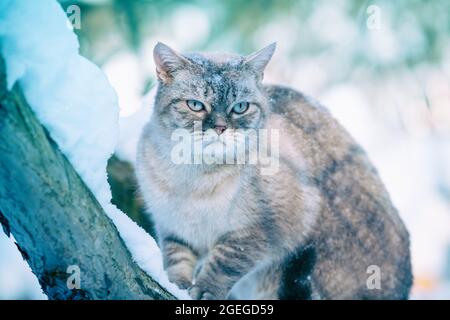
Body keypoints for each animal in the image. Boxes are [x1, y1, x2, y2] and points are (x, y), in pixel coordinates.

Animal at [135, 42, 414, 300]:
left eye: (240, 107)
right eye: (195, 105)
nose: (221, 128)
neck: (194, 178)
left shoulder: (262, 231)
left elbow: (224, 263)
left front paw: (205, 290)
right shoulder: (173, 228)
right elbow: (175, 262)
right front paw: (176, 286)